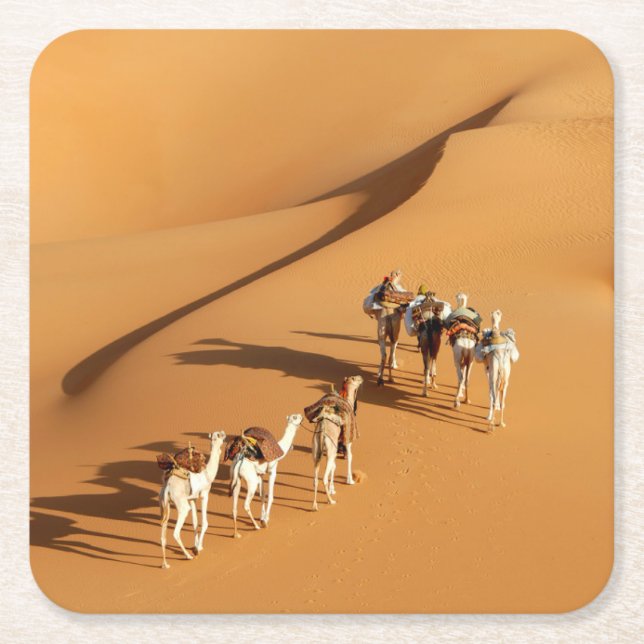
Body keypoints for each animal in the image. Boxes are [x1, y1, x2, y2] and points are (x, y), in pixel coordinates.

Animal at [159, 430, 226, 569]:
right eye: (219, 435)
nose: (224, 433)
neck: (207, 475)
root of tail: (168, 487)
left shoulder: (192, 499)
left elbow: (195, 522)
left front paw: (196, 546)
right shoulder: (205, 495)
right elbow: (205, 522)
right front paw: (197, 548)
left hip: (164, 504)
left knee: (163, 534)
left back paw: (165, 564)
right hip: (182, 506)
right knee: (175, 532)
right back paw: (188, 556)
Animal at [310, 374, 363, 510]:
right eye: (354, 378)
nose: (361, 377)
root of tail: (322, 430)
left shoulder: (336, 444)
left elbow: (334, 466)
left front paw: (332, 488)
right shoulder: (346, 441)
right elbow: (350, 457)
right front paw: (350, 480)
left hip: (317, 451)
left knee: (315, 479)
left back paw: (315, 505)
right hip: (329, 450)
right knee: (323, 477)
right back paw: (330, 501)